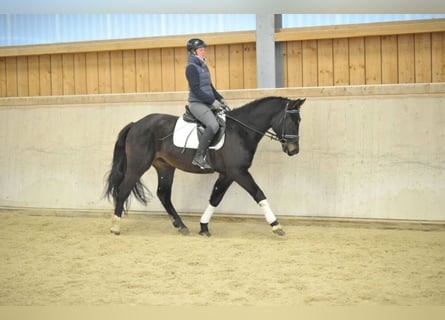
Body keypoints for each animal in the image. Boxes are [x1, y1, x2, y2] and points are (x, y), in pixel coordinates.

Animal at [105, 96, 304, 236]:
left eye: (299, 121)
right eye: (291, 121)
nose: (294, 150)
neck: (241, 131)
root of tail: (135, 124)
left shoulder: (227, 174)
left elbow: (215, 198)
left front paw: (203, 226)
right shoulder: (238, 172)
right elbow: (259, 194)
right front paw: (276, 226)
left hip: (165, 167)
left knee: (163, 194)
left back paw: (181, 226)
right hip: (138, 164)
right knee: (124, 189)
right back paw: (115, 226)